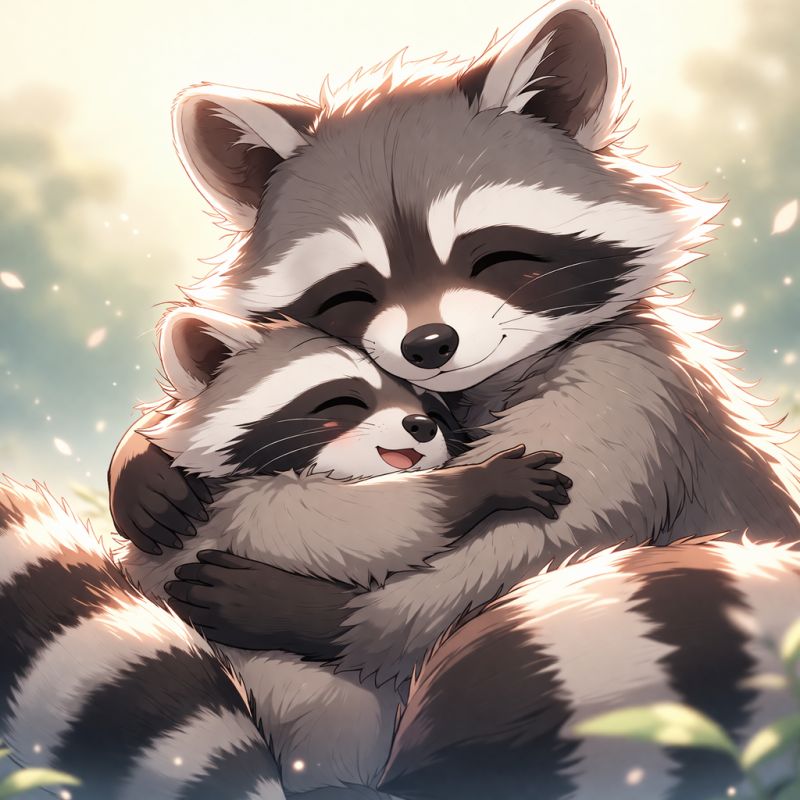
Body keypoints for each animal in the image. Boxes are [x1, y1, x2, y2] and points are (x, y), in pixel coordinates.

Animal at [119, 306, 570, 792]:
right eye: (345, 401)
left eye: (433, 410)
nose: (421, 427)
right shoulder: (234, 514)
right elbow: (356, 522)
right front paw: (483, 482)